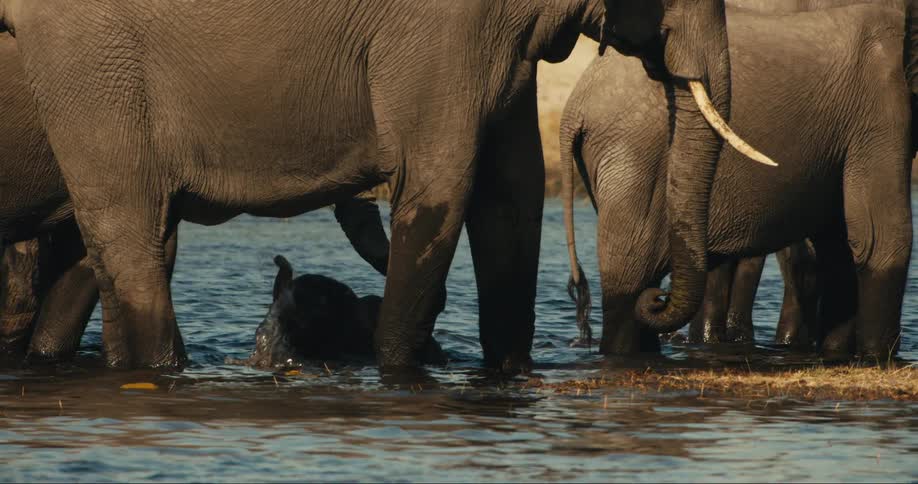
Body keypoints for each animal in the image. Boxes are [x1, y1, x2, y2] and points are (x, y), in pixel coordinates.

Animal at [562, 3, 912, 357]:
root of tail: (575, 107)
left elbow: (839, 244)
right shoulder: (880, 105)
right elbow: (881, 238)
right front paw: (876, 359)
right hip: (633, 156)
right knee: (632, 277)